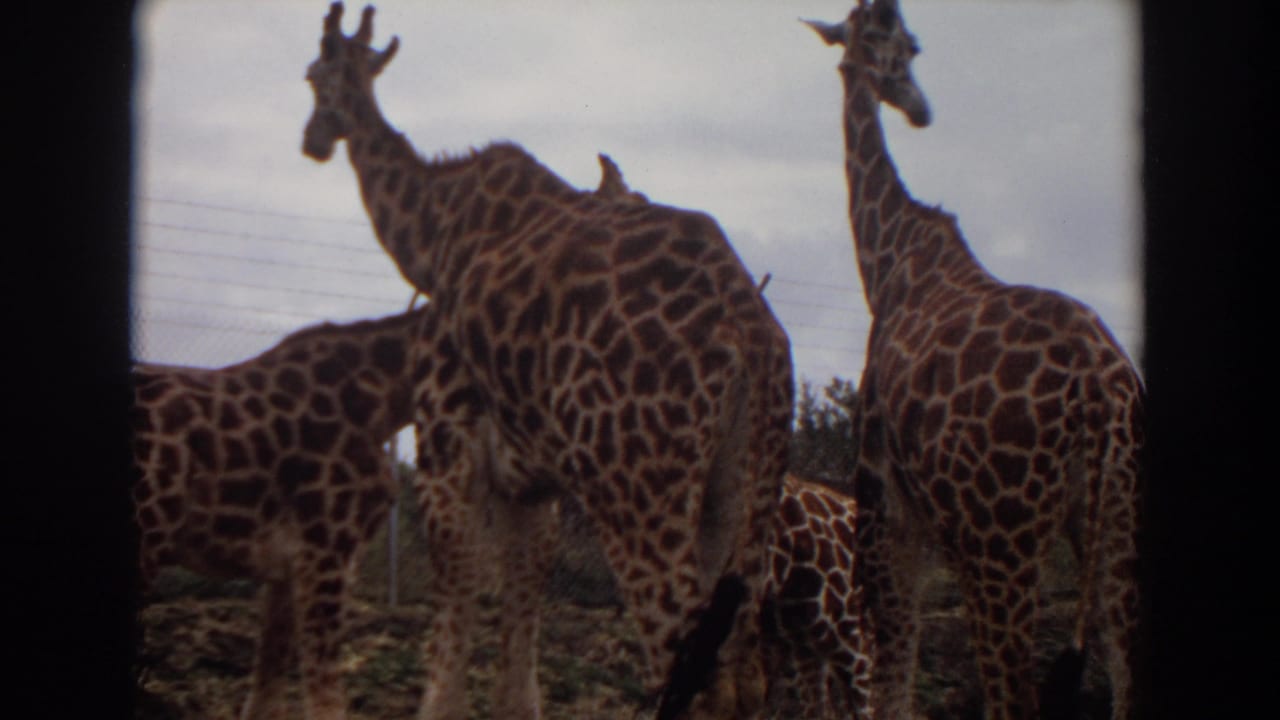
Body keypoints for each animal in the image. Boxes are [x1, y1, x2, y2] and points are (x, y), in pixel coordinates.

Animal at [300, 5, 795, 720]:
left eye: (313, 74)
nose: (312, 140)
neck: (431, 232)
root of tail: (751, 330)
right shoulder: (532, 482)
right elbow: (520, 638)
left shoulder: (445, 446)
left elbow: (456, 607)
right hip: (740, 495)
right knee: (744, 675)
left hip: (638, 487)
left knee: (685, 668)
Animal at [805, 2, 1146, 718]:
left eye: (911, 46)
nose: (917, 106)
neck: (885, 261)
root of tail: (1101, 388)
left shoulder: (884, 508)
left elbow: (893, 679)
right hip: (1114, 519)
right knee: (1123, 666)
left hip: (1004, 539)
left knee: (1016, 689)